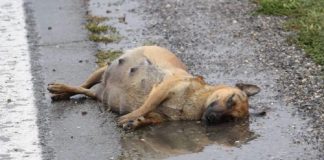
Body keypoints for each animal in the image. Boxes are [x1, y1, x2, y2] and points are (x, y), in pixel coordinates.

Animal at [48, 45, 260, 129]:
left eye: (230, 119)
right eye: (231, 100)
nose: (213, 119)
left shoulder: (160, 116)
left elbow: (149, 118)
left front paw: (136, 123)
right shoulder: (161, 89)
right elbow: (145, 106)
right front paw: (129, 117)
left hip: (99, 92)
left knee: (85, 91)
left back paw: (61, 92)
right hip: (102, 70)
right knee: (82, 85)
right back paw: (59, 88)